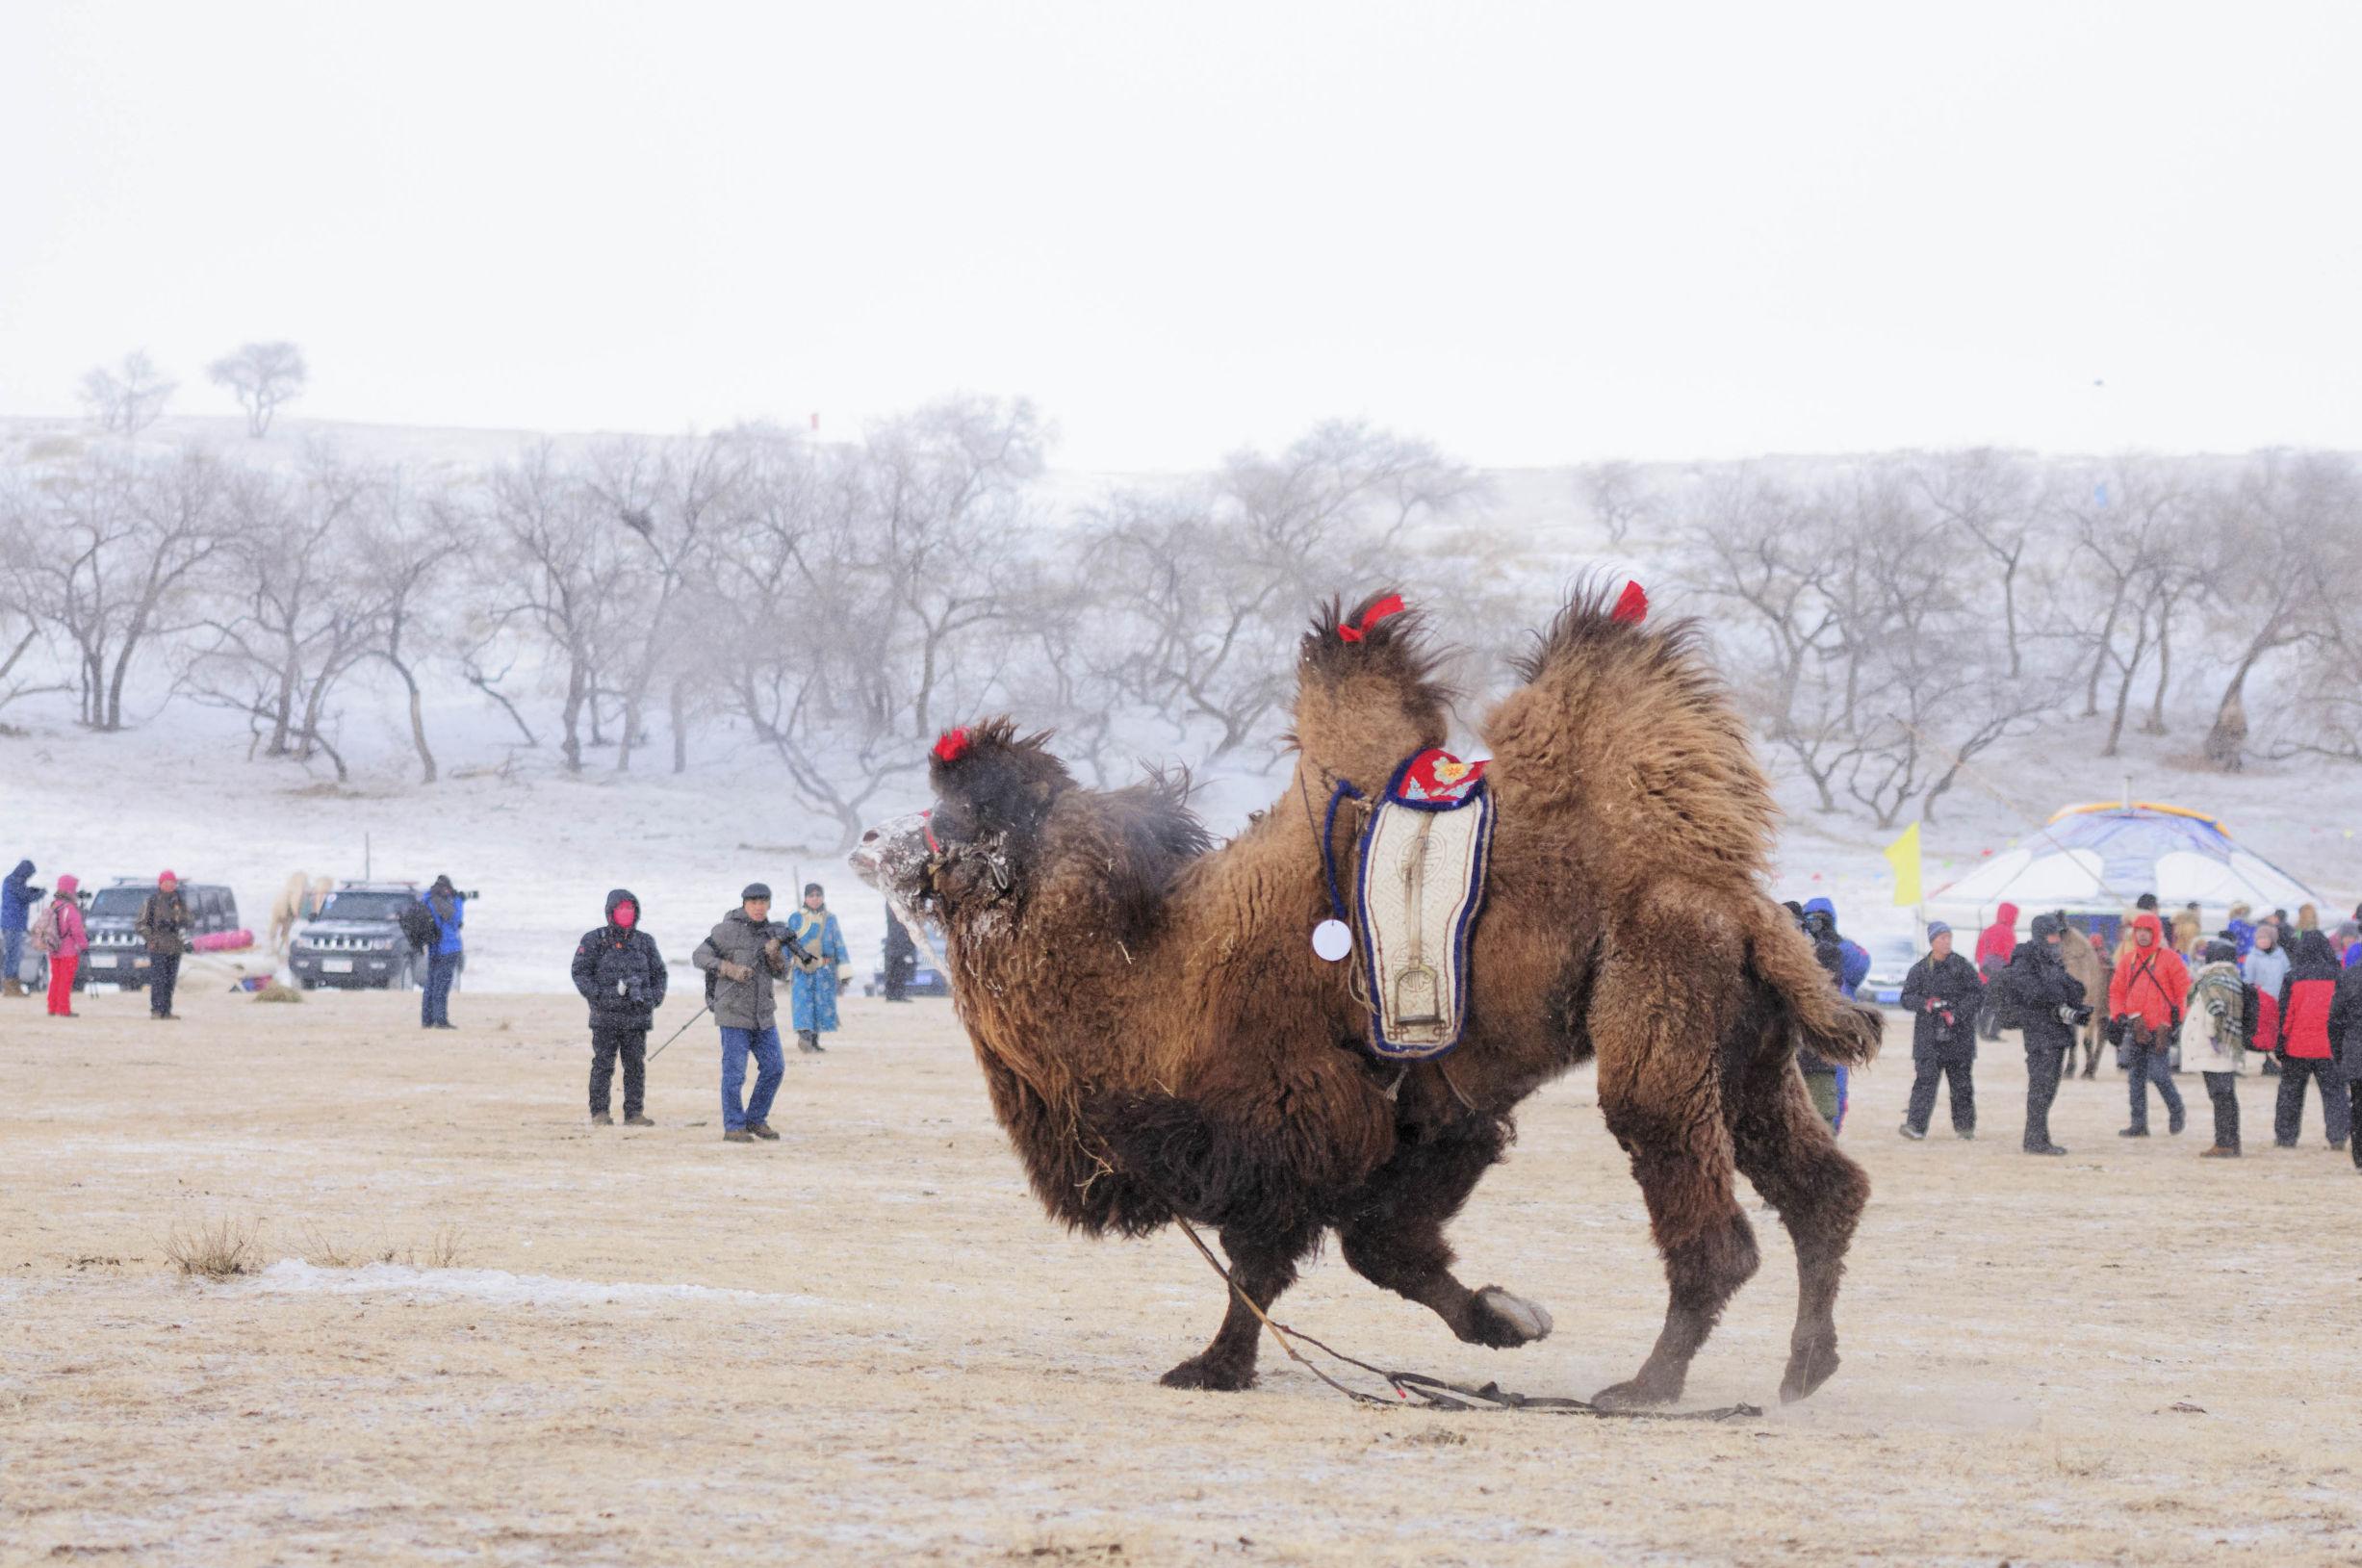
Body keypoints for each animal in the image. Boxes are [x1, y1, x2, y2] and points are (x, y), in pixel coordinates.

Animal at [855, 580, 1880, 1398]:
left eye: (953, 818)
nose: (868, 840)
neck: (1152, 974)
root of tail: (1737, 901)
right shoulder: (1428, 1118)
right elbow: (1383, 1249)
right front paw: (1506, 1318)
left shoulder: (1293, 1117)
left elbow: (1263, 1266)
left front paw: (1214, 1368)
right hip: (1749, 1041)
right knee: (1824, 1189)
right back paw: (1805, 1367)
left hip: (1659, 1001)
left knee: (1709, 1220)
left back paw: (1647, 1387)